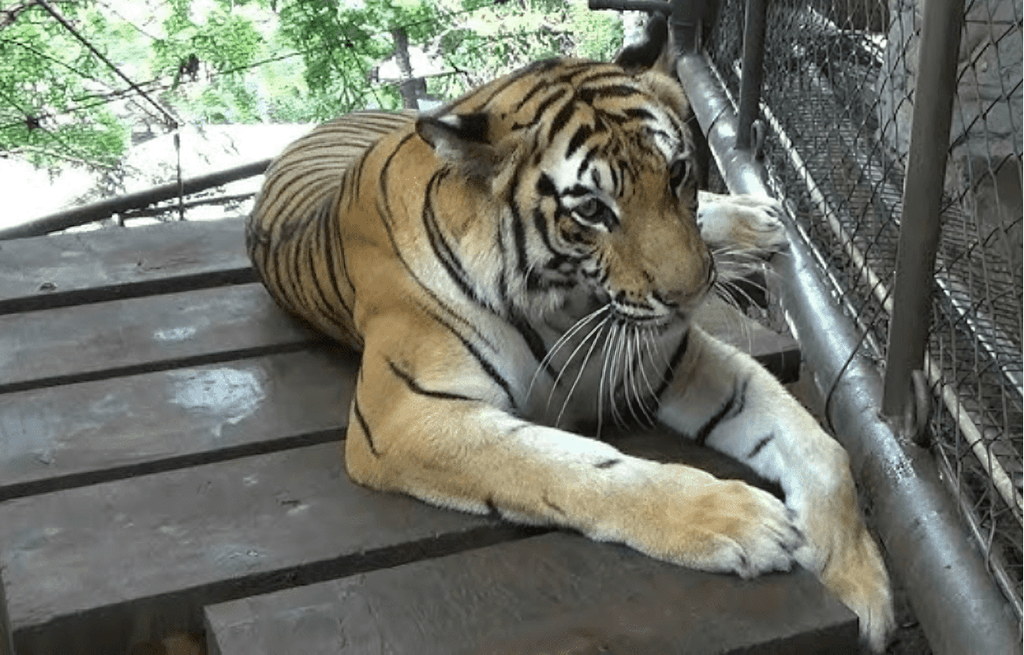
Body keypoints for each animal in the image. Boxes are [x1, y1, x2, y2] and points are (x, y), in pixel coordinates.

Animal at [246, 15, 893, 651]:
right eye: (592, 211)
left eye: (677, 172)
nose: (690, 295)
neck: (565, 301)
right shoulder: (405, 415)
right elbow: (571, 469)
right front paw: (735, 520)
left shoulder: (669, 359)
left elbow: (822, 449)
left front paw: (857, 582)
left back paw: (757, 218)